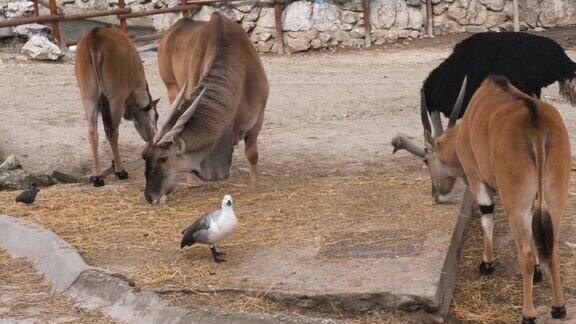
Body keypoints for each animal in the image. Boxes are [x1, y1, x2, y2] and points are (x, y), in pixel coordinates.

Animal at [75, 27, 160, 187]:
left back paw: (97, 177)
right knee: (112, 131)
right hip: (115, 99)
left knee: (93, 133)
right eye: (156, 116)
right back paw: (120, 171)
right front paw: (115, 164)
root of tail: (95, 36)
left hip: (88, 98)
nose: (154, 137)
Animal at [144, 13, 270, 205]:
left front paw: (254, 182)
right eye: (145, 157)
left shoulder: (257, 120)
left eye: (163, 158)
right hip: (171, 87)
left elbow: (252, 153)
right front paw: (192, 181)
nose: (150, 196)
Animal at [394, 75, 568, 322]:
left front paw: (487, 264)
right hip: (553, 202)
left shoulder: (476, 178)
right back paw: (558, 307)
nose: (435, 194)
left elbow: (487, 217)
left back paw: (528, 313)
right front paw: (537, 272)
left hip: (517, 205)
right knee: (552, 248)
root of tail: (535, 122)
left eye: (426, 161)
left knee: (524, 253)